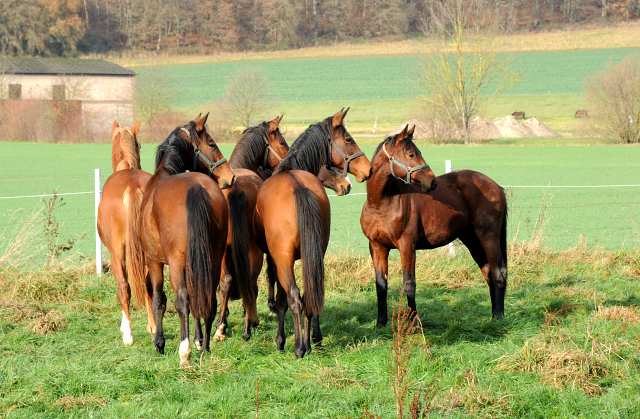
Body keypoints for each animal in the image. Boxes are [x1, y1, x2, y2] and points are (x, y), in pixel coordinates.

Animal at [97, 119, 158, 348]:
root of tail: (132, 185)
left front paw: (124, 328)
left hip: (117, 253)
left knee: (124, 288)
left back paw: (129, 336)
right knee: (151, 286)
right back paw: (154, 328)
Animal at [135, 113, 235, 366]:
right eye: (212, 144)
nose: (230, 177)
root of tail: (195, 187)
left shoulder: (154, 261)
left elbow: (160, 300)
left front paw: (159, 343)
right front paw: (199, 339)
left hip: (176, 262)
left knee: (181, 299)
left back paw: (185, 351)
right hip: (213, 256)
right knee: (208, 296)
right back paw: (205, 347)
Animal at [360, 124, 504, 328]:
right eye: (412, 154)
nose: (432, 182)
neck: (381, 203)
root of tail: (496, 186)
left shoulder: (407, 246)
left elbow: (409, 284)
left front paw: (413, 323)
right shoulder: (377, 247)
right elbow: (381, 285)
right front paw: (380, 323)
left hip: (488, 236)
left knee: (499, 273)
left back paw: (498, 318)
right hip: (472, 239)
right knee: (489, 273)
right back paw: (493, 315)